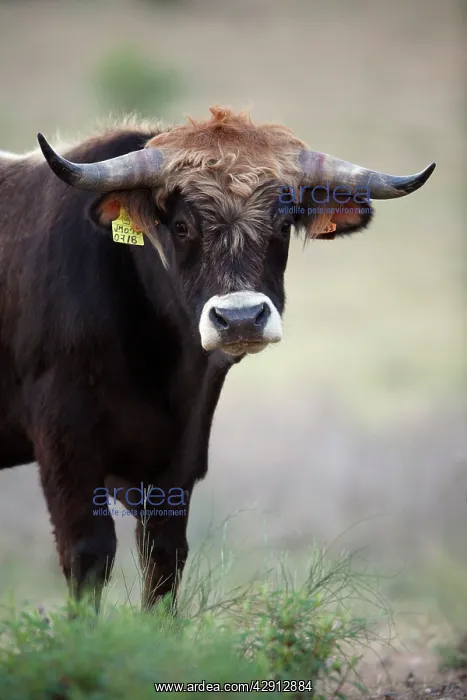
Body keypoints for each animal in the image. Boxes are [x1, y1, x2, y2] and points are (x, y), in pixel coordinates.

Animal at [0, 106, 435, 613]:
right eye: (182, 226)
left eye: (282, 225)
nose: (241, 318)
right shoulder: (64, 444)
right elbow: (88, 553)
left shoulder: (179, 459)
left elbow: (164, 557)